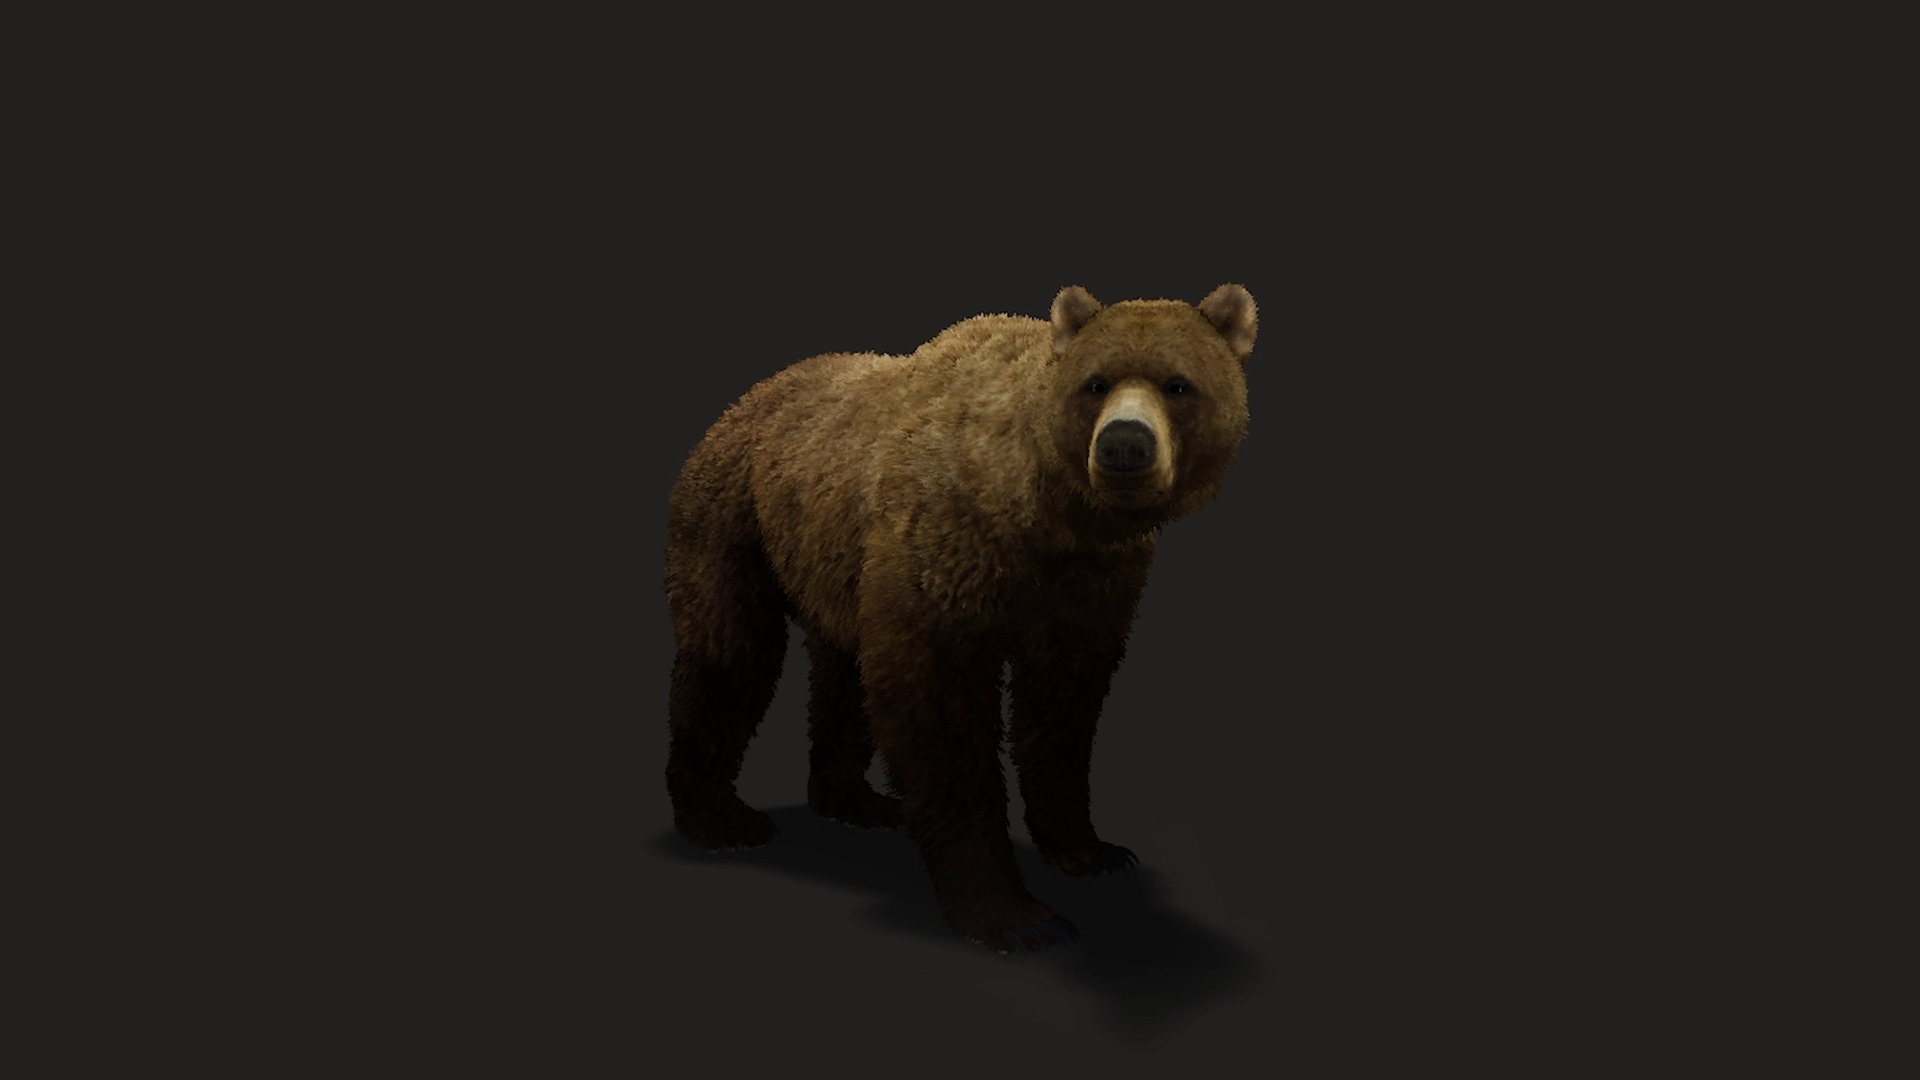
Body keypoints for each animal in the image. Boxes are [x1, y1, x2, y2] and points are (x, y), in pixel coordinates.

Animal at [663, 284, 1257, 953]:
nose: (1124, 444)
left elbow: (1062, 707)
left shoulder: (1091, 582)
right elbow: (937, 710)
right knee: (730, 652)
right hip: (734, 512)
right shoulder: (944, 548)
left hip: (830, 554)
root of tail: (748, 397)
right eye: (1096, 383)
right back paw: (720, 817)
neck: (1049, 515)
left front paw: (1089, 848)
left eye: (1178, 384)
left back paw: (854, 800)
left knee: (842, 670)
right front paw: (1014, 914)